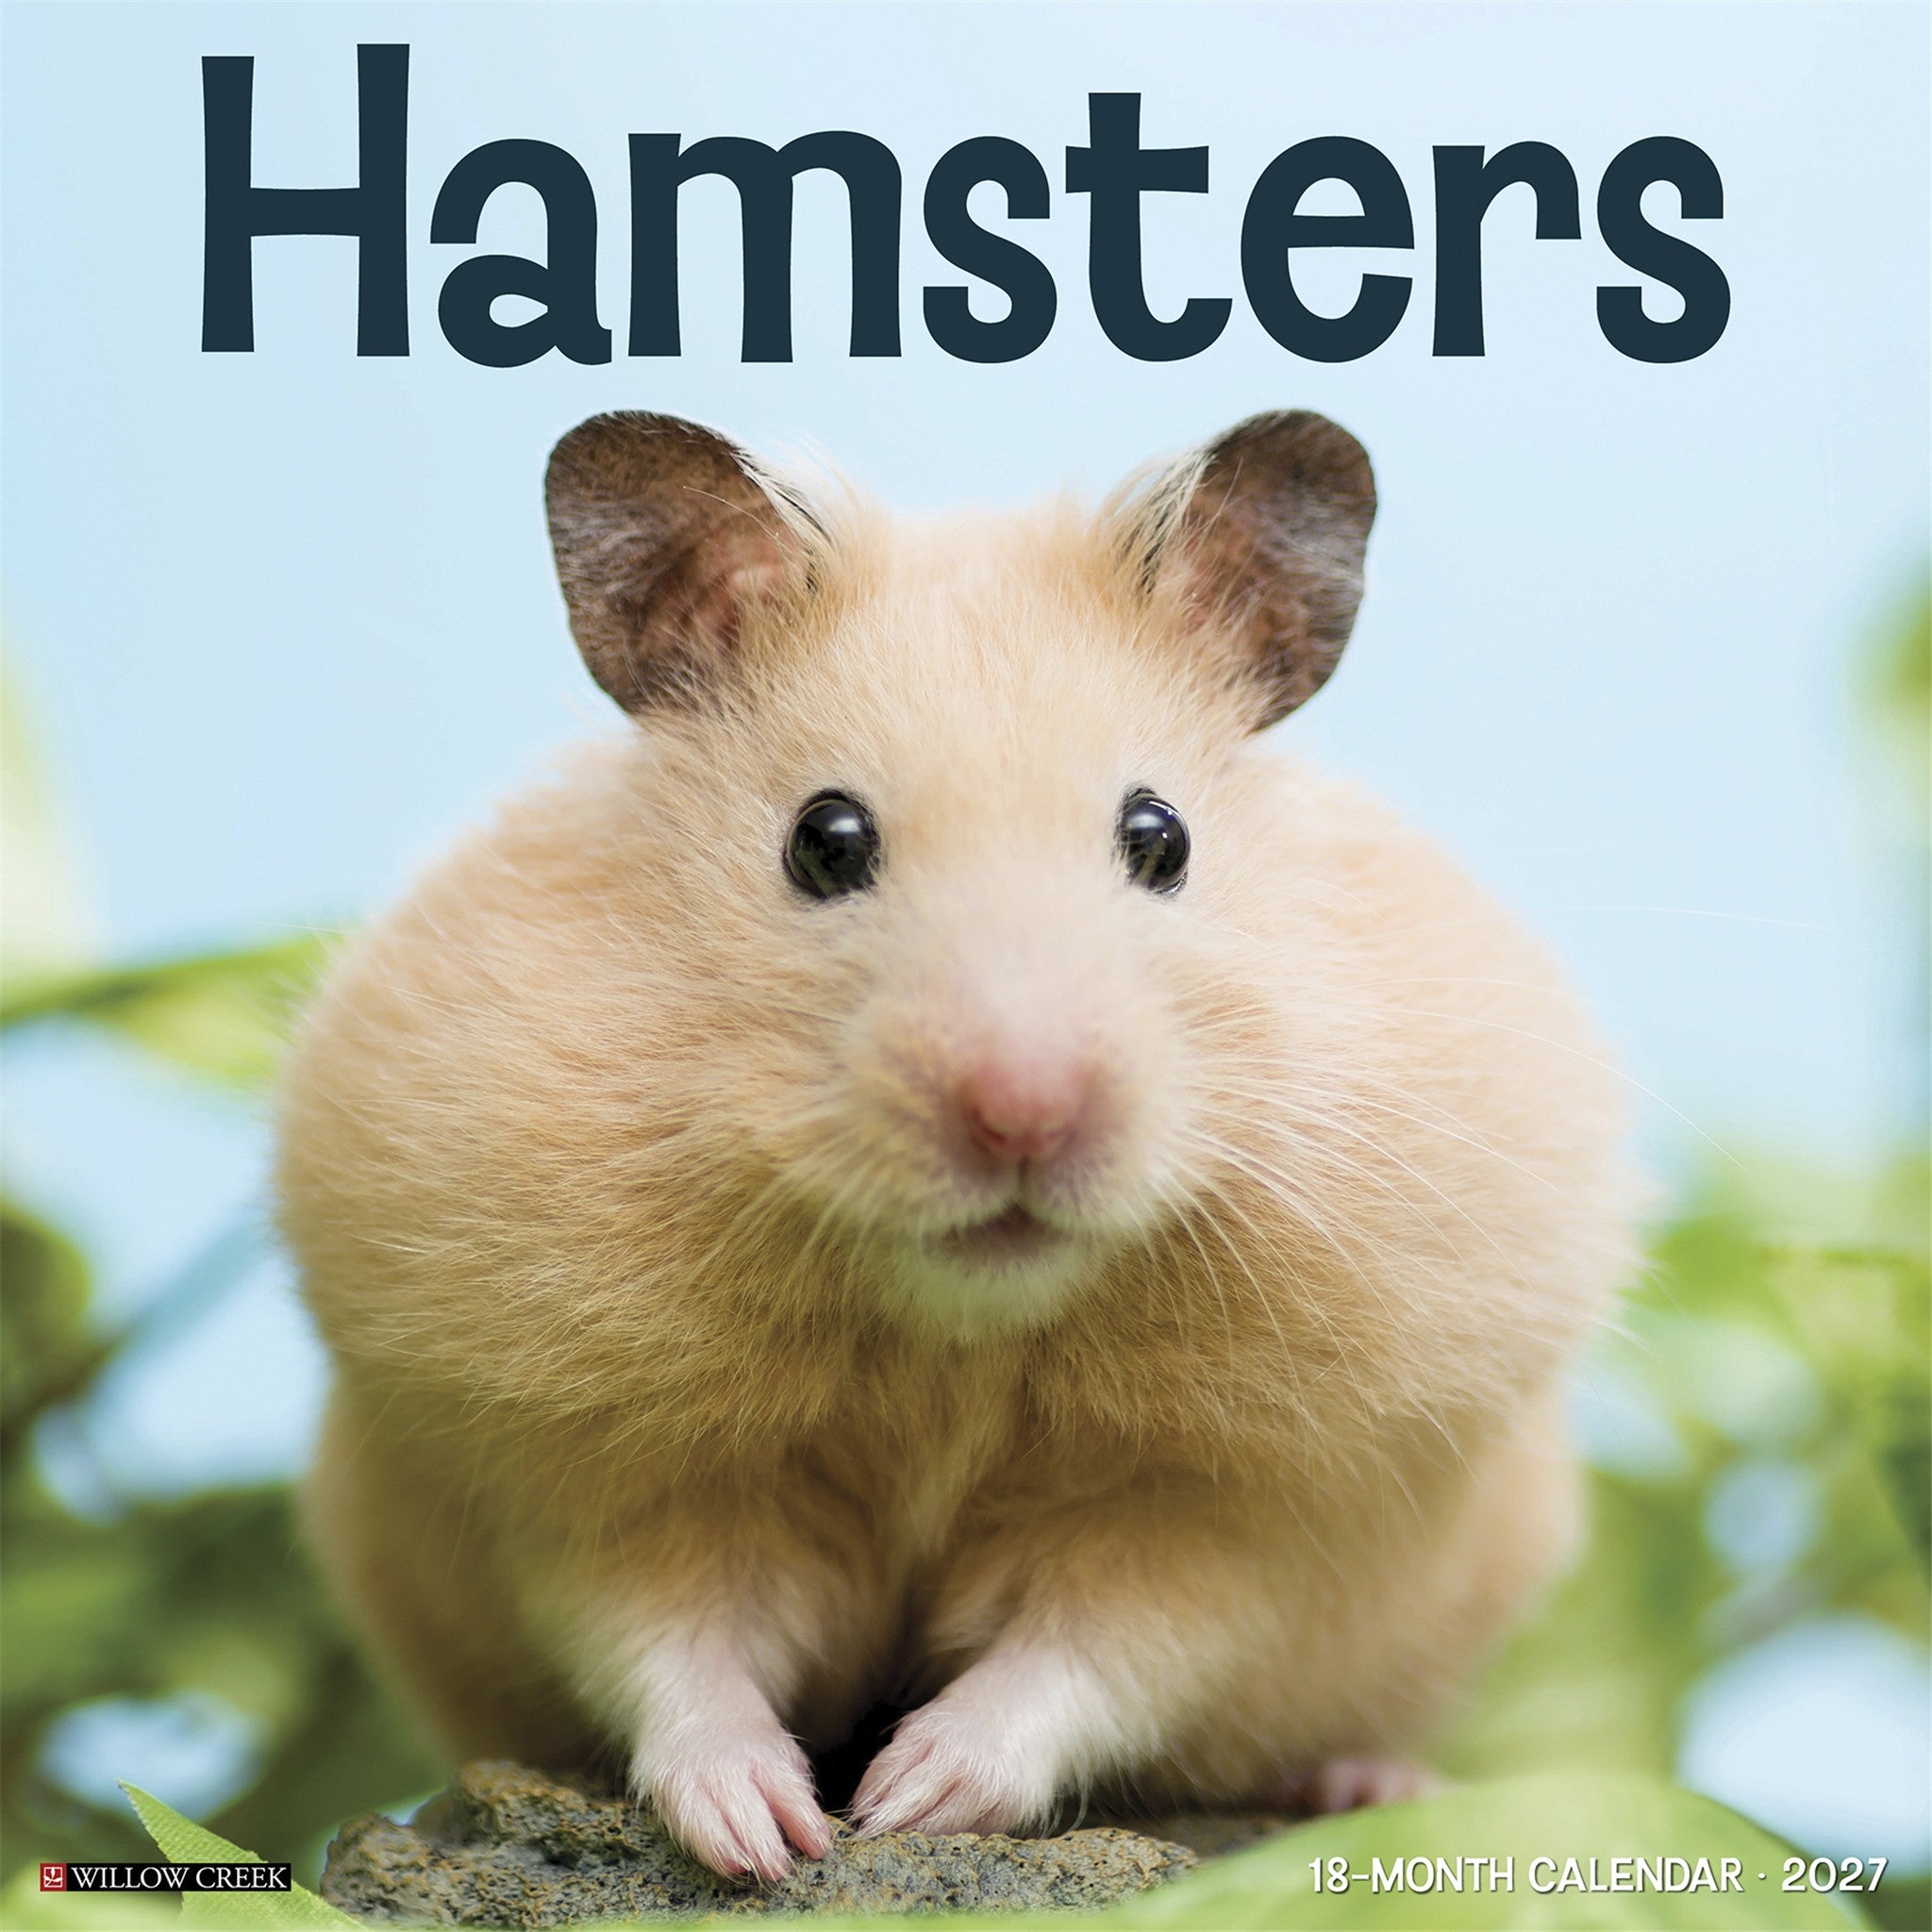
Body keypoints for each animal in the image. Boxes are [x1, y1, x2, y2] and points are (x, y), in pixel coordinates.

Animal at [276, 409, 1639, 1881]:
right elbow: (667, 1641)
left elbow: (1102, 1651)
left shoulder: (1233, 1516)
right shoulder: (595, 1471)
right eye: (824, 841)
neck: (956, 1334)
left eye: (1160, 837)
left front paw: (908, 1795)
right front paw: (769, 1834)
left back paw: (1365, 1784)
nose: (1023, 1112)